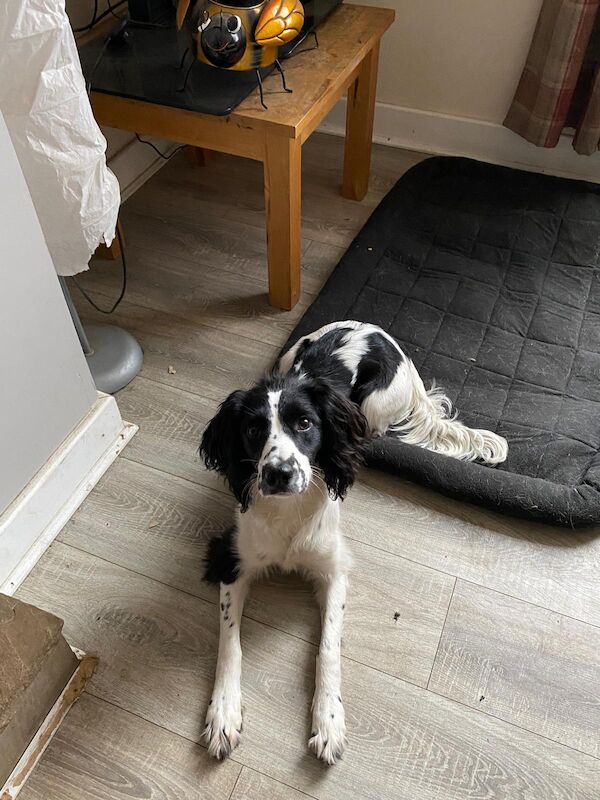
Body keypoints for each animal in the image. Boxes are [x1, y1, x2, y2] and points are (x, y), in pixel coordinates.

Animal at [199, 318, 508, 764]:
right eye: (254, 430)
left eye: (305, 424)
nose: (278, 474)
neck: (289, 511)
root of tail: (380, 333)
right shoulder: (231, 559)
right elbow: (230, 642)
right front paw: (223, 711)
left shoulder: (334, 571)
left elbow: (328, 647)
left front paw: (329, 720)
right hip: (290, 353)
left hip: (375, 404)